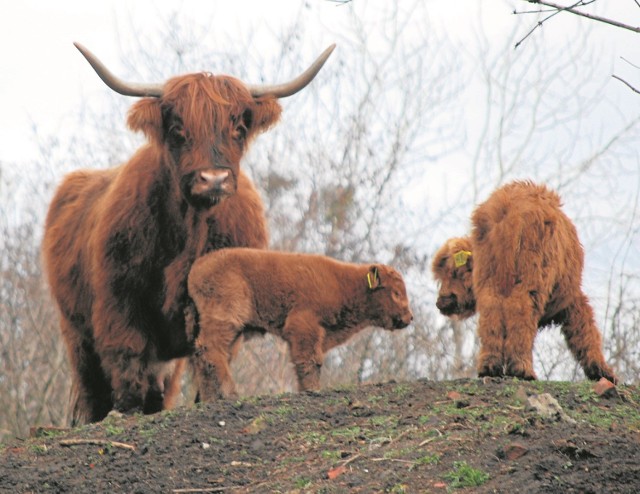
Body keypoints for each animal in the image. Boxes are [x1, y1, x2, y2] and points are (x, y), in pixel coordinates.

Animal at [42, 42, 336, 424]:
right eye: (178, 128)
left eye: (238, 127)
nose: (213, 179)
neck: (191, 230)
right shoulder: (120, 299)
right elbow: (127, 355)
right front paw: (127, 410)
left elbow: (211, 353)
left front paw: (213, 399)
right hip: (75, 329)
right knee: (93, 383)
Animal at [189, 249, 416, 400]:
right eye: (396, 293)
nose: (410, 317)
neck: (346, 284)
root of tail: (198, 268)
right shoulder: (304, 326)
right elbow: (310, 360)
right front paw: (312, 390)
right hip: (228, 317)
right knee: (210, 348)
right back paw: (231, 393)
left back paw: (211, 399)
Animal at [432, 180, 616, 382]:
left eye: (454, 273)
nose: (442, 301)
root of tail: (507, 209)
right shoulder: (571, 296)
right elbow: (585, 329)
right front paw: (602, 371)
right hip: (531, 278)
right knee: (520, 309)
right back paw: (522, 369)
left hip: (491, 280)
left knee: (491, 311)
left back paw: (490, 366)